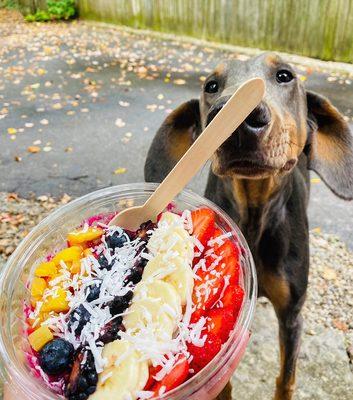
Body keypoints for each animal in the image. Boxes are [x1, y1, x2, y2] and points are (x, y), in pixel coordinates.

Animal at [143, 53, 352, 400]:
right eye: (211, 85)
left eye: (285, 75)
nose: (239, 120)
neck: (254, 211)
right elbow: (223, 381)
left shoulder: (292, 316)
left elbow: (286, 378)